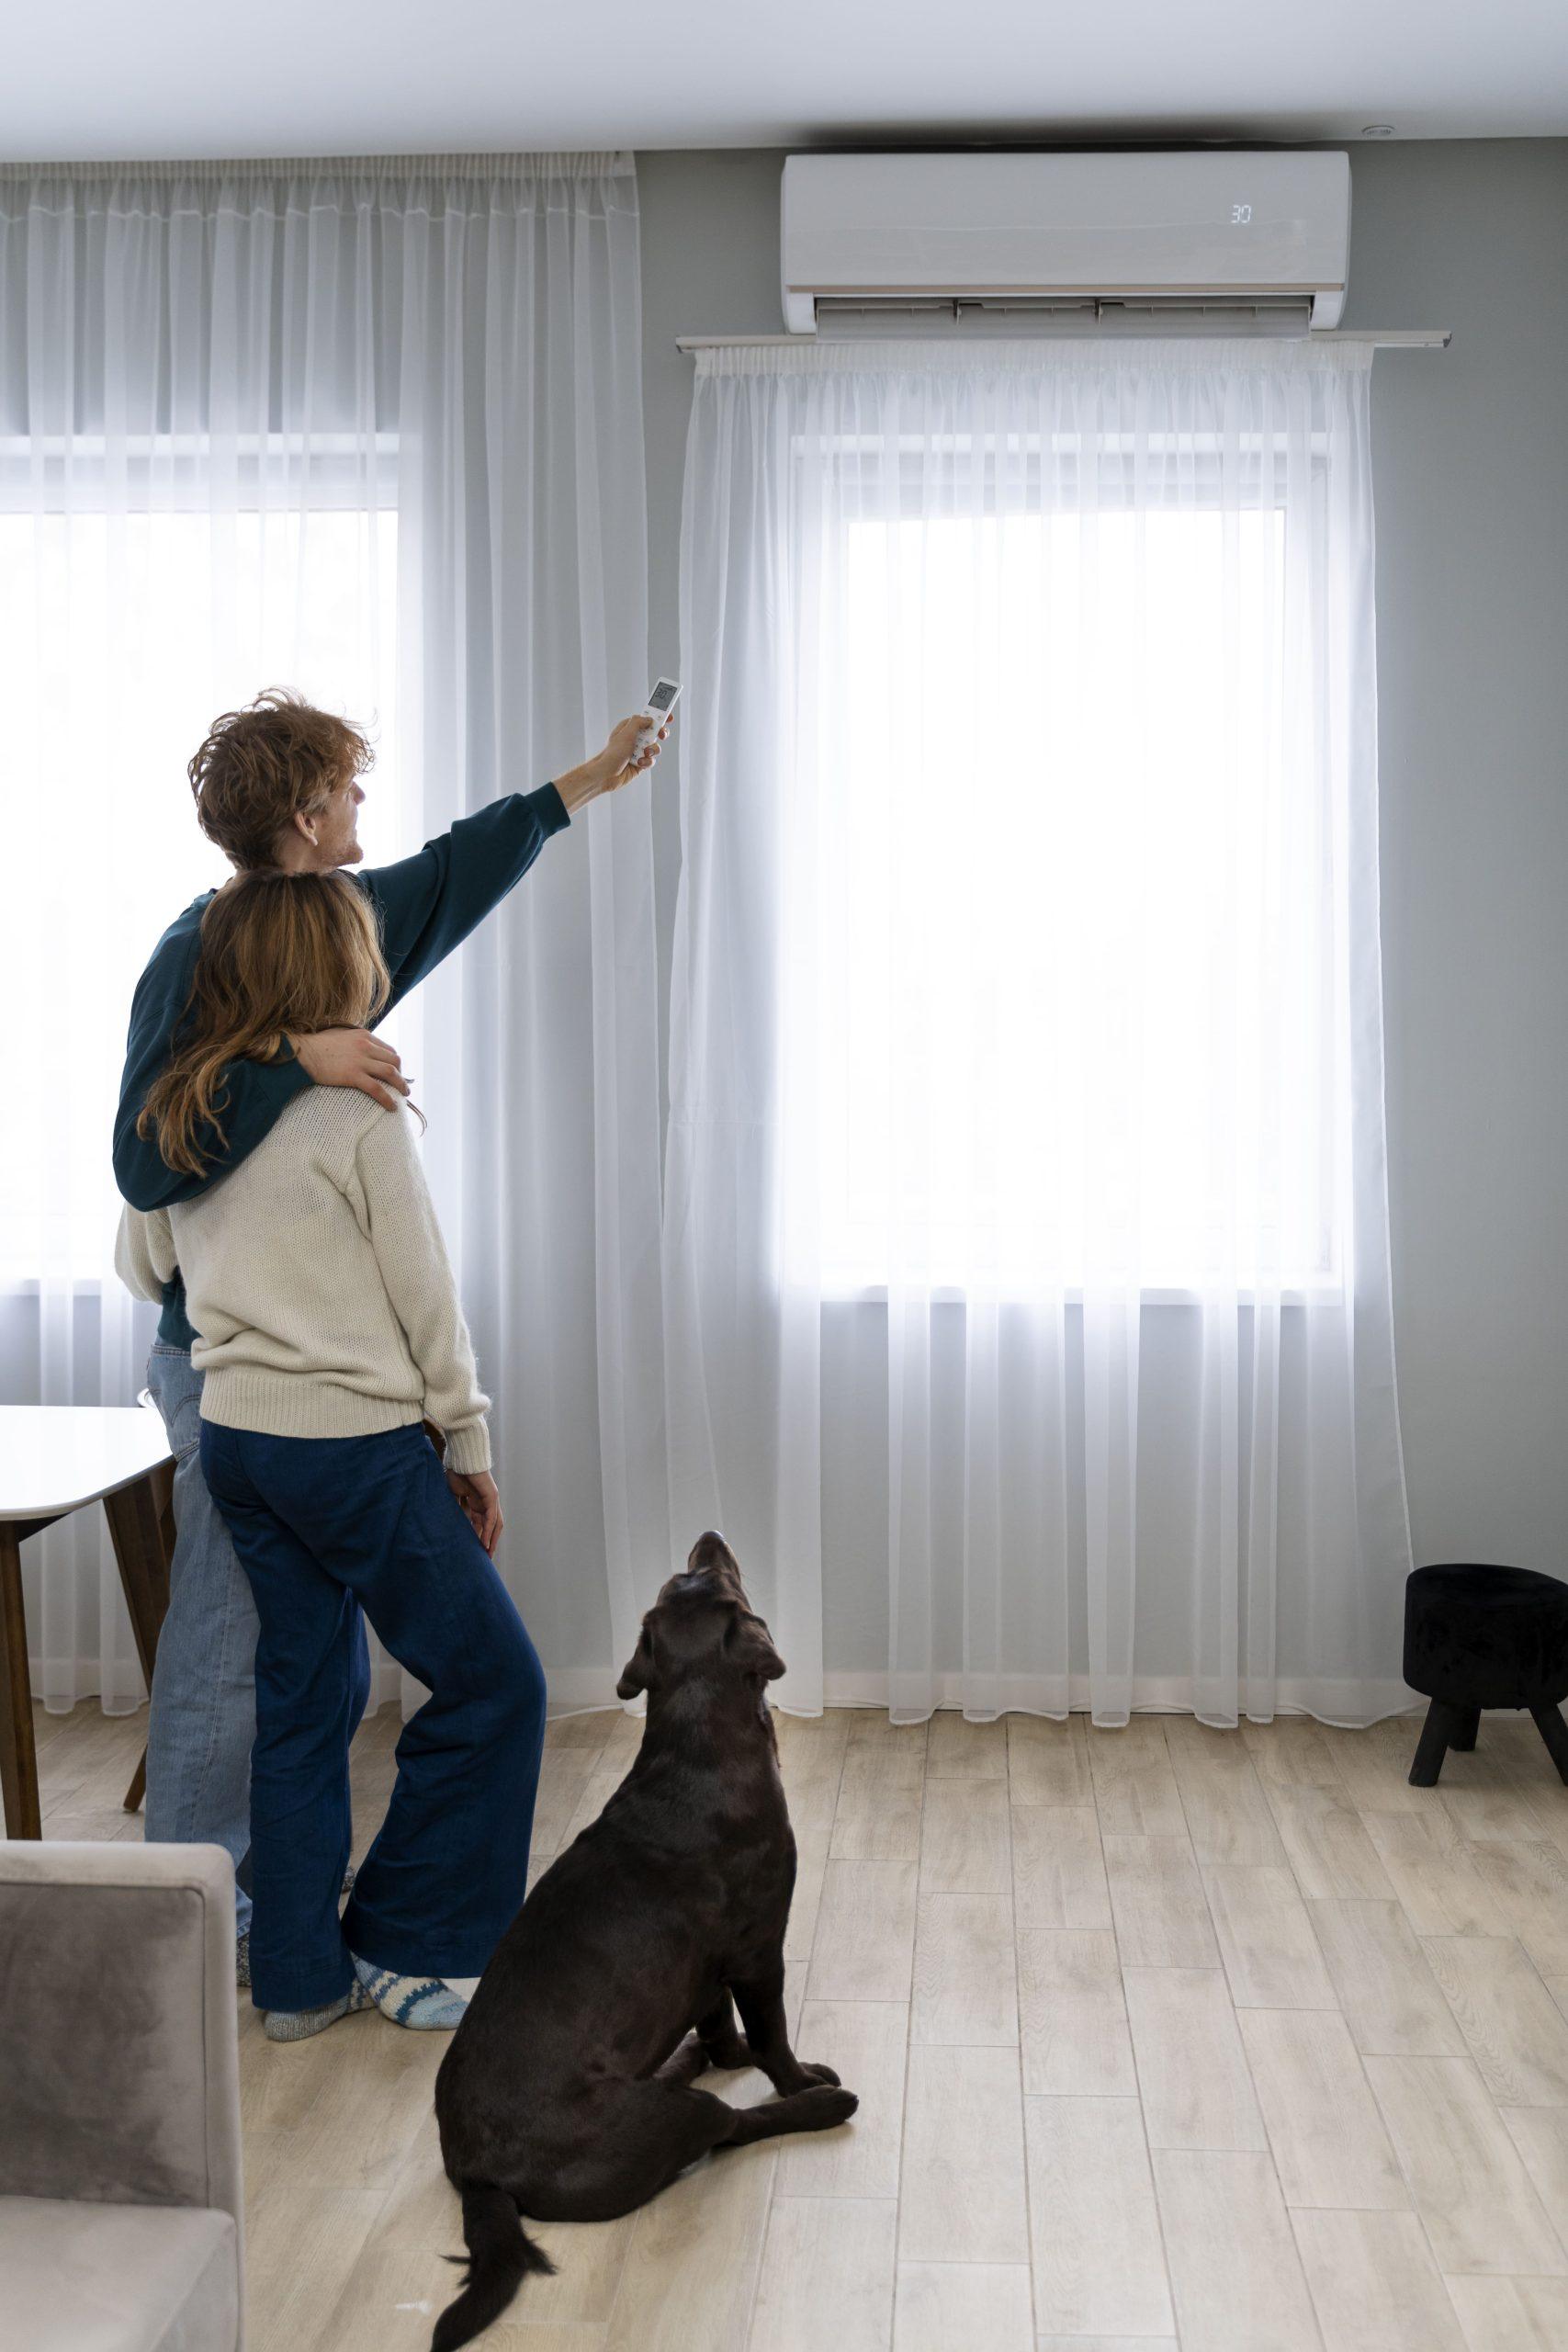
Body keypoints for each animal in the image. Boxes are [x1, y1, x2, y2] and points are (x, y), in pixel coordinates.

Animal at [430, 1533, 860, 2342]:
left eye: (685, 1578)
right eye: (717, 1578)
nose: (708, 1538)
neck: (695, 1748)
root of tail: (477, 2176)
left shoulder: (705, 1970)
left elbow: (723, 2028)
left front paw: (719, 2050)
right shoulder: (759, 1952)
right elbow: (772, 2040)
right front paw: (803, 2077)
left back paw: (685, 2058)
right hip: (662, 2121)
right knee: (732, 2125)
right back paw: (821, 2108)